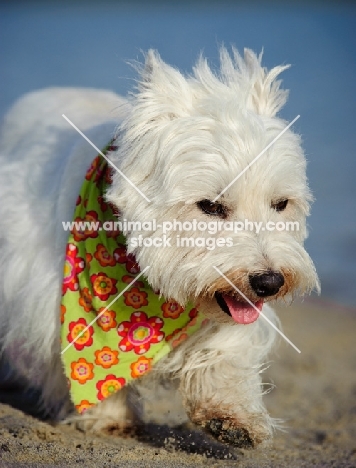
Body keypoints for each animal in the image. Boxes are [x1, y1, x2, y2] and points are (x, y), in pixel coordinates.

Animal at [0, 48, 318, 450]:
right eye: (210, 206)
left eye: (281, 204)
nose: (269, 282)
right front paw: (109, 417)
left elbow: (226, 347)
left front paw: (231, 416)